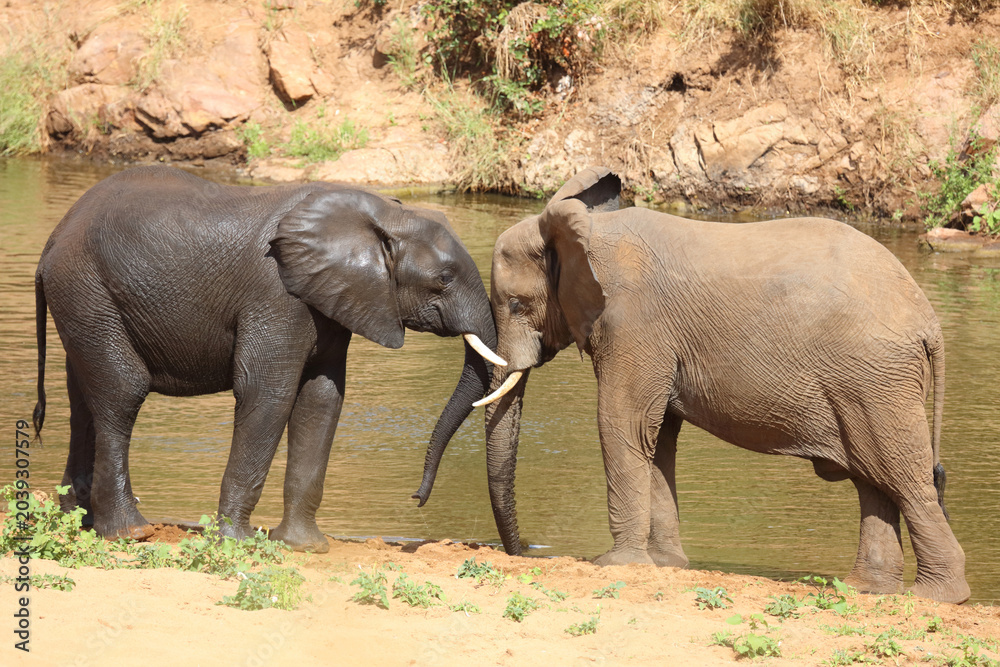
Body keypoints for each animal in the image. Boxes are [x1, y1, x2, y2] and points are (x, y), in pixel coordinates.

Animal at [33, 165, 504, 552]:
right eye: (443, 279)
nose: (416, 498)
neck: (381, 213)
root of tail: (53, 237)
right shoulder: (277, 295)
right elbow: (268, 394)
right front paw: (238, 542)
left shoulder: (329, 299)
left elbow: (321, 401)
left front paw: (305, 547)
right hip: (86, 288)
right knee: (123, 390)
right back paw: (130, 532)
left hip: (83, 299)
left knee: (83, 401)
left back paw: (75, 522)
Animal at [477, 166, 970, 604]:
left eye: (516, 305)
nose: (524, 552)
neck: (590, 230)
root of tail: (928, 320)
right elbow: (659, 438)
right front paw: (666, 565)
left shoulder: (633, 323)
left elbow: (624, 423)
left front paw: (616, 564)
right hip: (870, 382)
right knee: (874, 479)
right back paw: (866, 589)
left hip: (876, 380)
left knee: (903, 477)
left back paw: (937, 597)